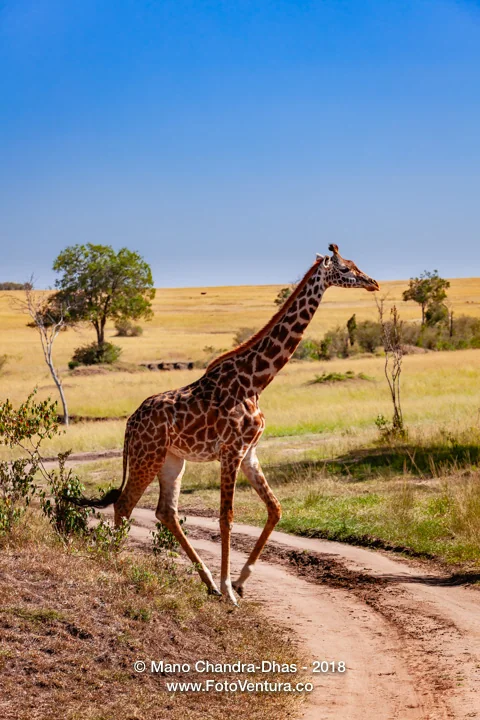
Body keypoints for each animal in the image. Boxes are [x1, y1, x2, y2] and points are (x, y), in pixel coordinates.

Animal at [78, 244, 379, 605]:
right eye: (346, 268)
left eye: (356, 265)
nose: (373, 283)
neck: (256, 381)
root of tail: (128, 424)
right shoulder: (231, 451)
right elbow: (227, 518)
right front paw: (229, 590)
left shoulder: (249, 453)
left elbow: (275, 509)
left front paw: (239, 581)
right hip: (146, 456)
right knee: (125, 503)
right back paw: (118, 563)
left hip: (171, 460)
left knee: (165, 511)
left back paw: (206, 581)